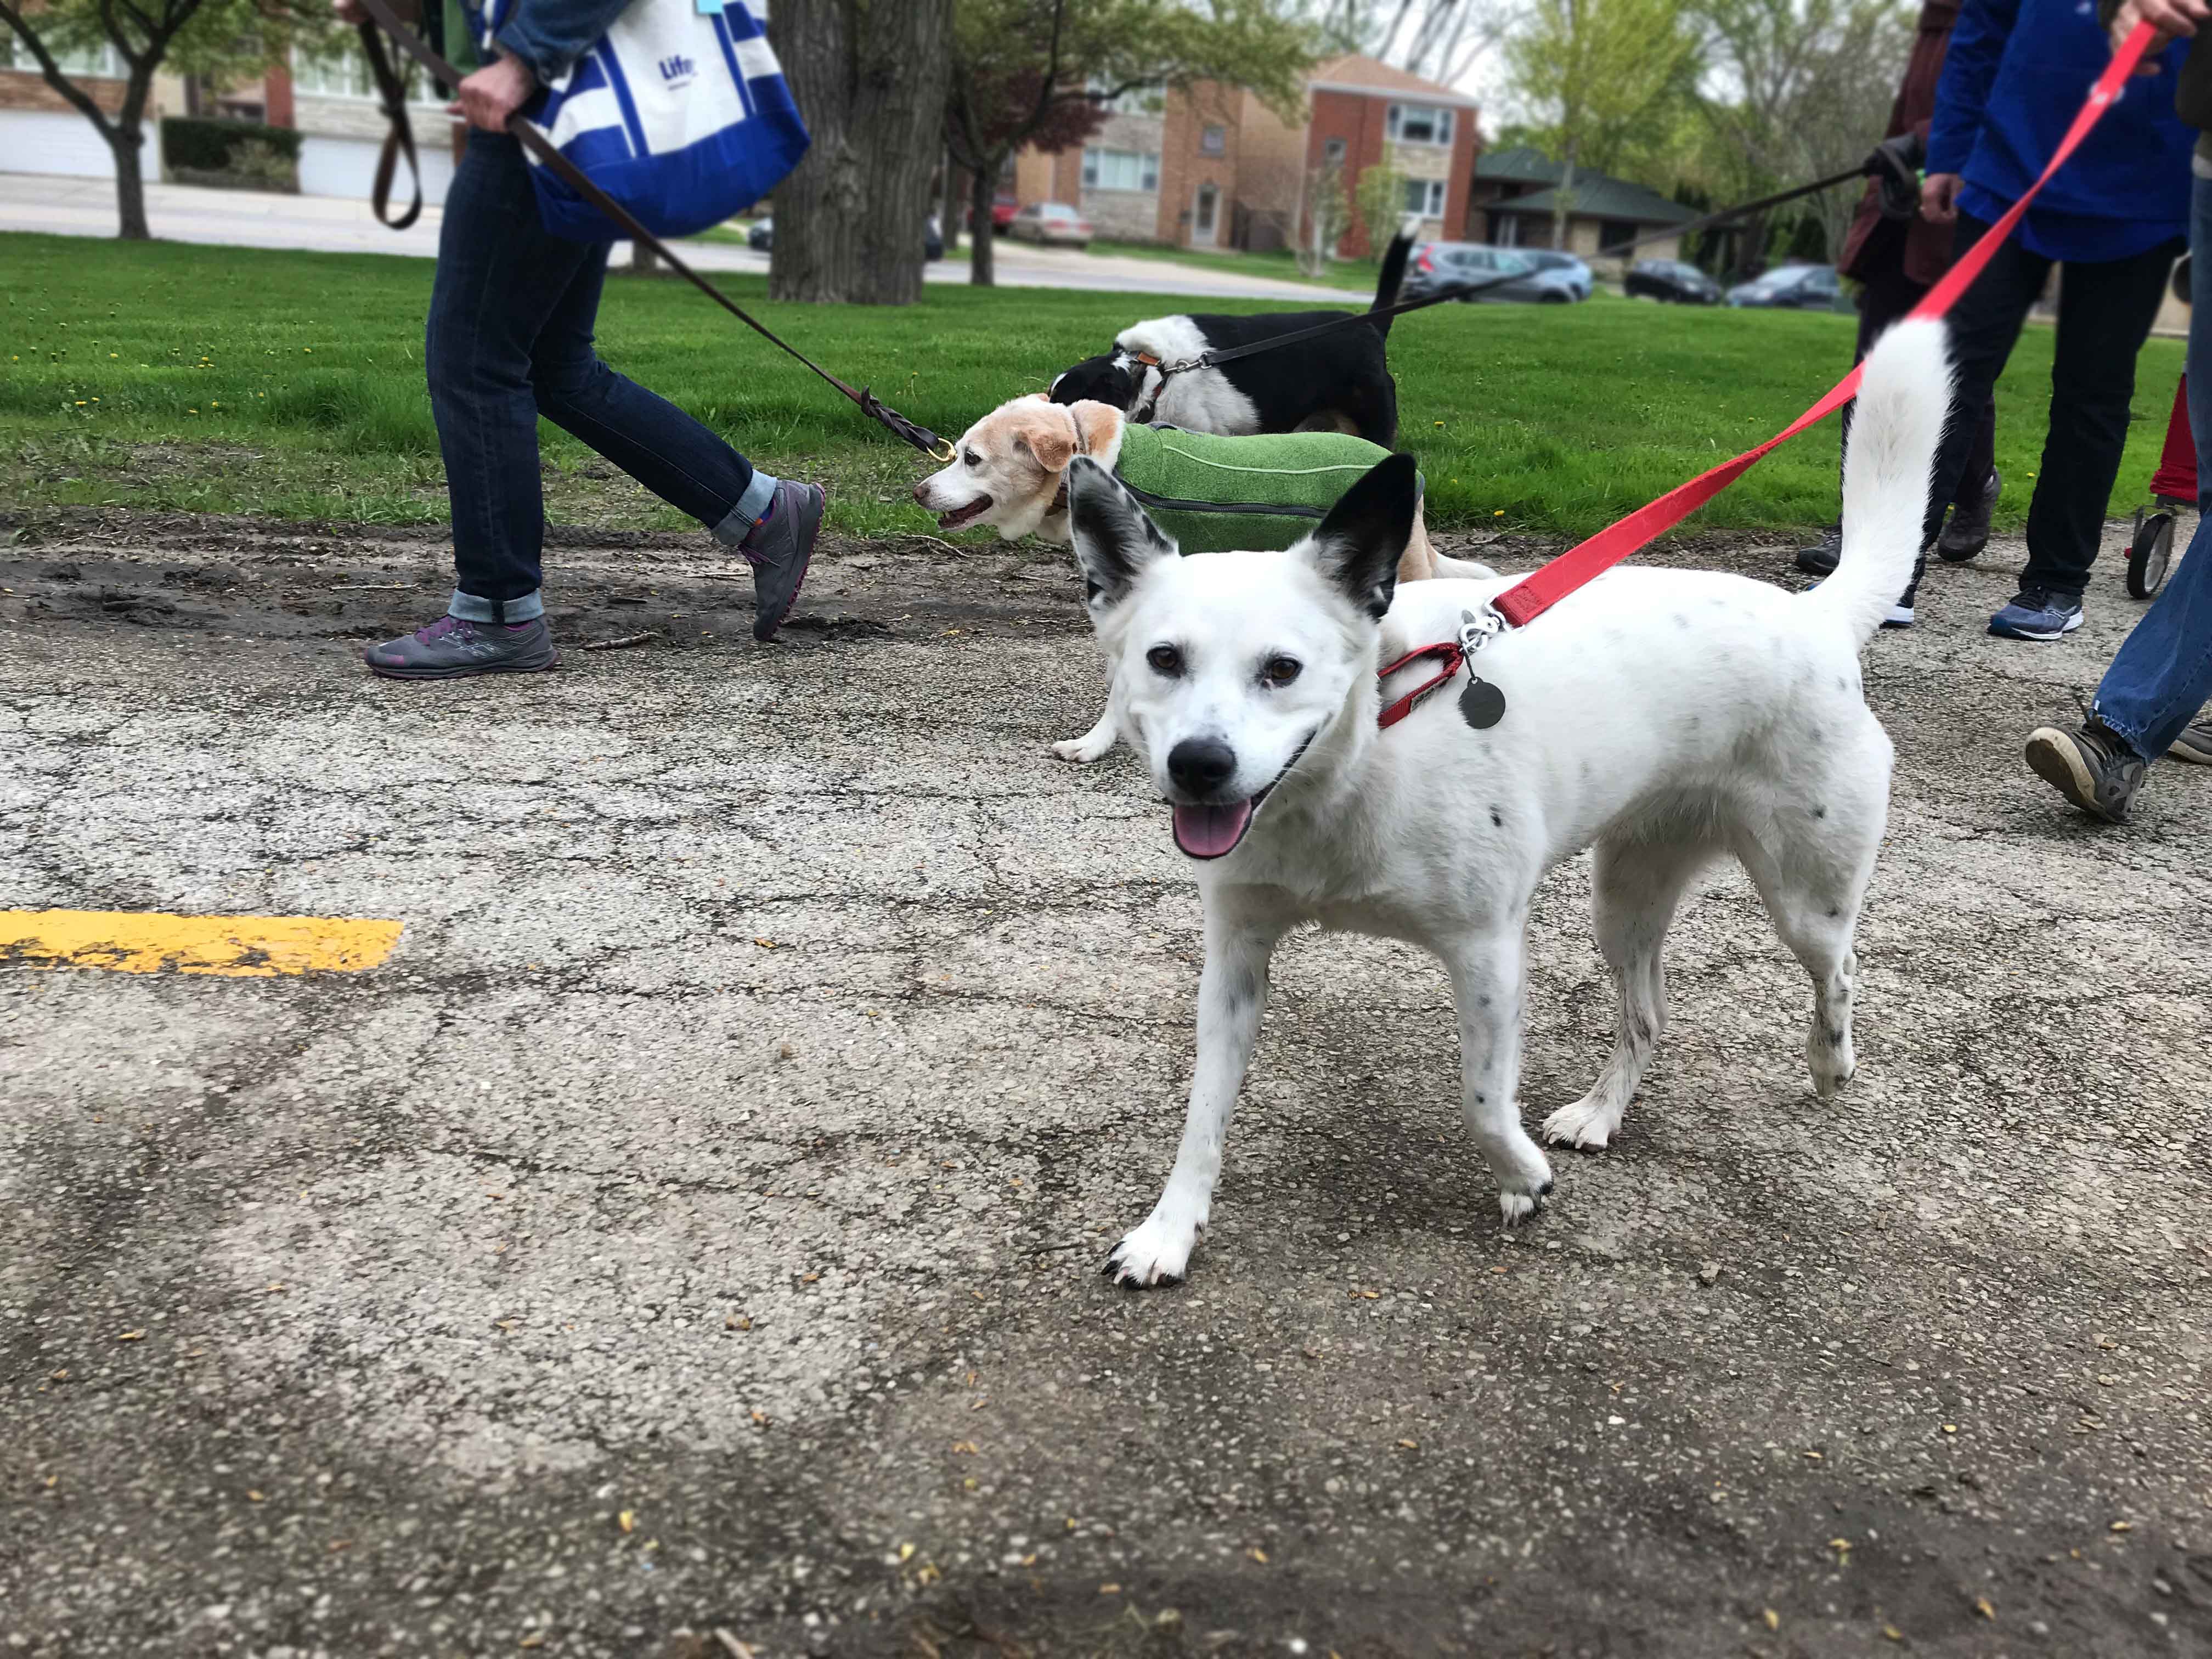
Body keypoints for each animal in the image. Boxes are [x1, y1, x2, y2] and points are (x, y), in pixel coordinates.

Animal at [1070, 318, 1955, 1291]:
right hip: (1625, 901)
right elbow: (1203, 1113)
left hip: (1806, 896)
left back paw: (1831, 1065)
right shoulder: (1235, 959)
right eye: (1163, 660)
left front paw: (1520, 1178)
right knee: (1649, 1016)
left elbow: (1483, 1098)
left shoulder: (1487, 955)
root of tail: (1816, 617)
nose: (1200, 766)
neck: (1362, 758)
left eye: (1283, 669)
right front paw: (1170, 1230)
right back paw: (1603, 1114)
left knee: (1839, 971)